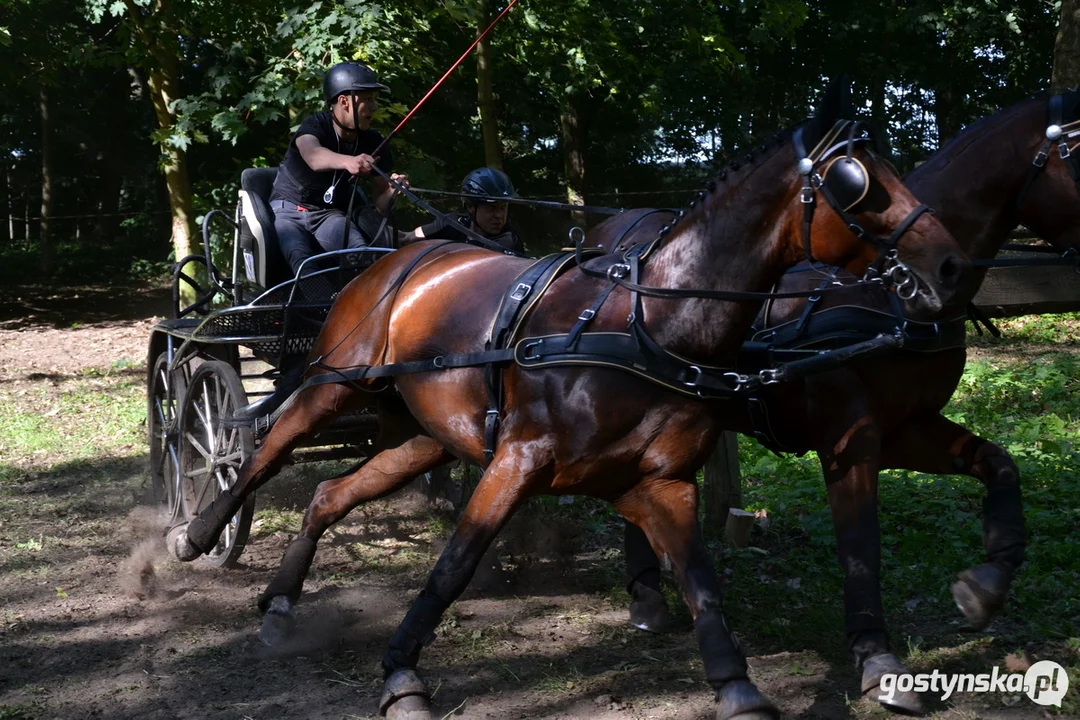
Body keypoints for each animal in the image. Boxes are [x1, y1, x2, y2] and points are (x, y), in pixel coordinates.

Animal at [168, 78, 972, 720]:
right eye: (854, 180)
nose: (950, 262)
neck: (647, 324)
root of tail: (398, 255)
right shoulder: (518, 459)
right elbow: (454, 563)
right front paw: (401, 675)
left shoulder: (660, 482)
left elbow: (702, 584)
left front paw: (737, 686)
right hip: (334, 384)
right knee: (263, 454)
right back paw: (196, 534)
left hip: (422, 432)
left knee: (331, 493)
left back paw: (280, 604)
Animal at [613, 88, 1080, 716]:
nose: (949, 269)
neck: (882, 296)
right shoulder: (848, 441)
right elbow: (860, 544)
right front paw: (878, 660)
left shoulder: (908, 427)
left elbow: (1000, 465)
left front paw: (985, 587)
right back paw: (646, 597)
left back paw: (651, 597)